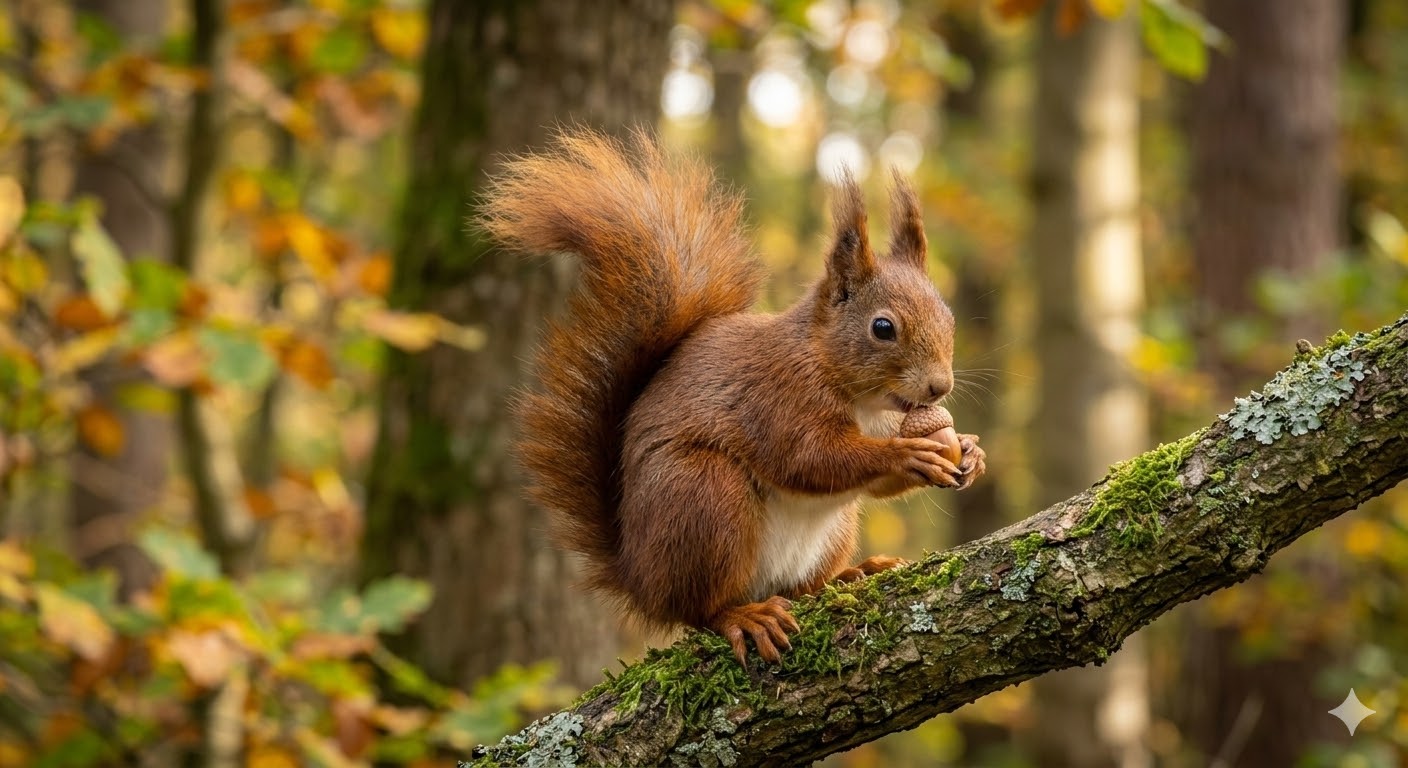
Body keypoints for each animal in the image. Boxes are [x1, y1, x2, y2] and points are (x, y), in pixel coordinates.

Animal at [480, 129, 985, 665]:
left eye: (948, 316)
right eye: (883, 328)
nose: (939, 386)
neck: (860, 397)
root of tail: (641, 579)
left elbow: (869, 483)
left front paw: (970, 451)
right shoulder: (777, 400)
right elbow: (810, 460)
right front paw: (908, 454)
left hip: (827, 530)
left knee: (800, 586)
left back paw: (850, 574)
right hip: (705, 497)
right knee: (701, 609)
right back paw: (744, 616)